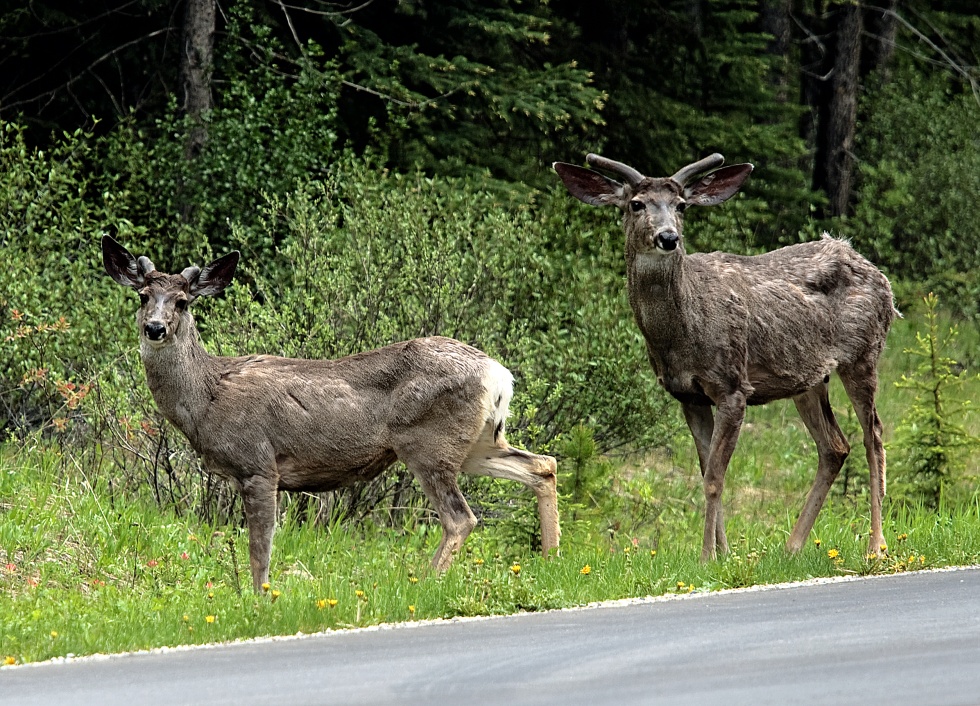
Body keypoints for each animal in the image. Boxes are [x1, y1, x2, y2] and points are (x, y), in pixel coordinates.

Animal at [103, 235, 560, 588]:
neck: (208, 396)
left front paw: (260, 598)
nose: (155, 328)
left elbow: (259, 550)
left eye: (182, 302)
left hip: (429, 443)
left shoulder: (258, 464)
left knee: (461, 518)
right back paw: (552, 562)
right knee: (542, 465)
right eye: (143, 296)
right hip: (477, 442)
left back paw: (424, 582)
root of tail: (499, 374)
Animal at [552, 155, 896, 560]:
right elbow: (705, 471)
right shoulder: (688, 395)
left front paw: (706, 556)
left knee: (873, 437)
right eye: (636, 204)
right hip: (809, 377)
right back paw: (792, 546)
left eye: (681, 206)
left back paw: (876, 545)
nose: (668, 237)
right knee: (835, 446)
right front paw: (723, 554)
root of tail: (878, 274)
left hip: (863, 352)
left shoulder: (732, 386)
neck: (682, 331)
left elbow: (715, 478)